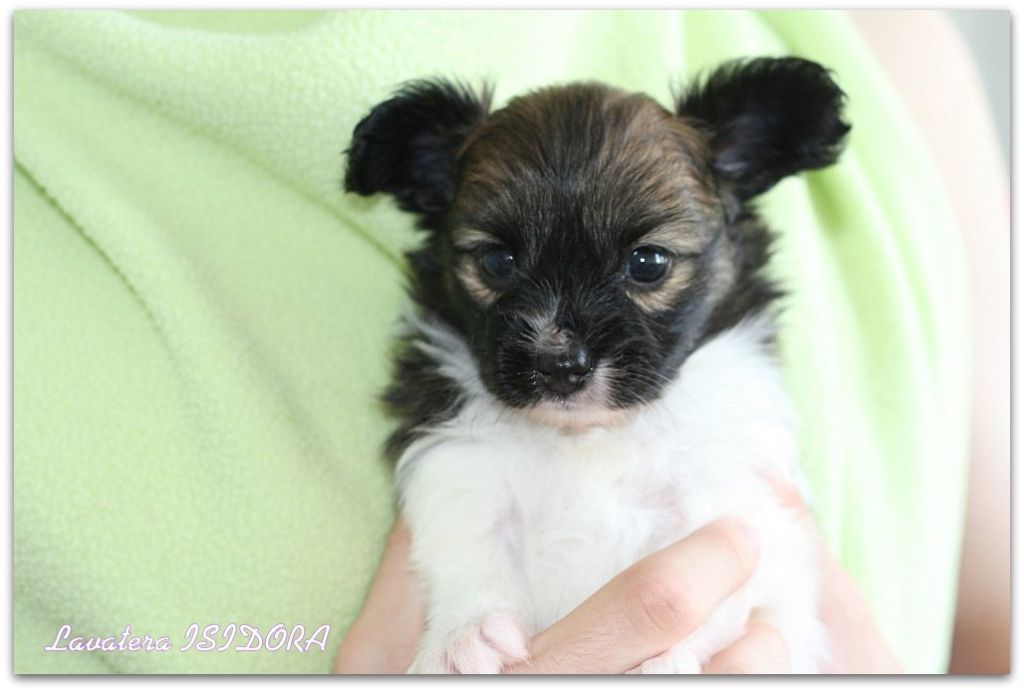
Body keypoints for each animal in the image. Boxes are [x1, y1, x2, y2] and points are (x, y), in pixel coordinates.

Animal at [343, 56, 850, 673]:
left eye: (648, 263)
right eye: (497, 262)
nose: (560, 363)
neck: (585, 439)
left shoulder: (727, 502)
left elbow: (713, 603)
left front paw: (664, 663)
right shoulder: (460, 465)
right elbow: (469, 550)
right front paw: (463, 639)